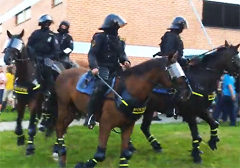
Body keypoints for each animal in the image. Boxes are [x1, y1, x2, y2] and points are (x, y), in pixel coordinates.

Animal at [52, 51, 191, 167]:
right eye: (173, 71)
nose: (188, 92)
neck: (128, 91)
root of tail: (63, 73)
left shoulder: (128, 125)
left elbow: (125, 154)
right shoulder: (106, 124)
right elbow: (100, 154)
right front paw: (84, 164)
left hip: (72, 111)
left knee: (62, 128)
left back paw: (60, 153)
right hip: (64, 107)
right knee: (58, 126)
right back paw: (60, 152)